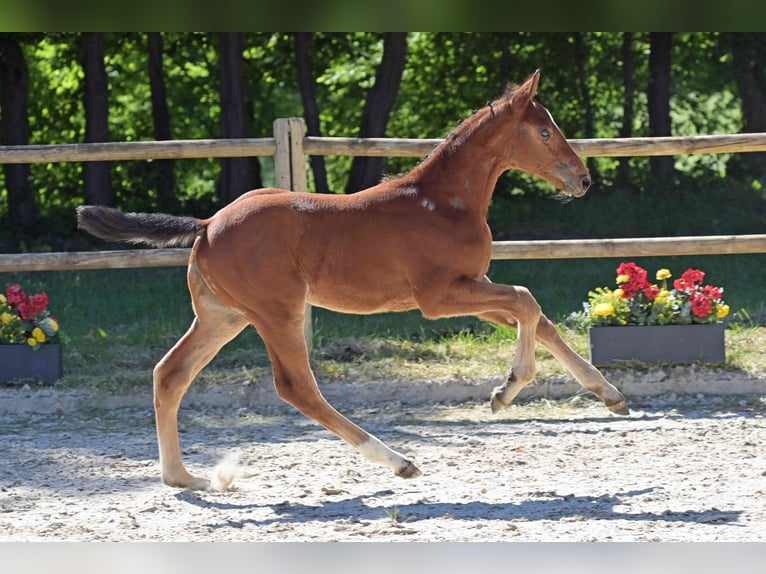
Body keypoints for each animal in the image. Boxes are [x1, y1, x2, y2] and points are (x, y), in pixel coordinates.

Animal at [77, 70, 629, 492]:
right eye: (544, 132)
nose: (583, 179)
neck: (443, 203)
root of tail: (207, 224)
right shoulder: (439, 295)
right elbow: (527, 300)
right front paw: (507, 390)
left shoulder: (471, 284)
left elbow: (538, 317)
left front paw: (609, 394)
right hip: (276, 311)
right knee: (297, 387)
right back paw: (398, 461)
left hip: (222, 315)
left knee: (170, 374)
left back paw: (184, 478)